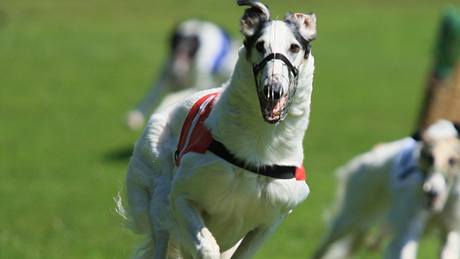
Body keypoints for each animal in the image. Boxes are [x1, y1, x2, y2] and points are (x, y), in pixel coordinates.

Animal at [314, 120, 460, 259]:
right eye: (430, 157)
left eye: (452, 160)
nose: (431, 191)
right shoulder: (408, 230)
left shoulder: (451, 231)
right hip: (350, 218)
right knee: (324, 245)